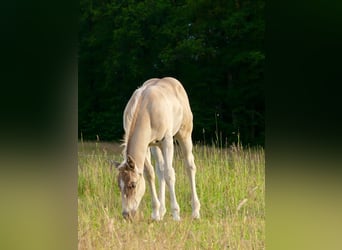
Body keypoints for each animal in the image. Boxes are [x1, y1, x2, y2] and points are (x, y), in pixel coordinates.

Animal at [115, 76, 200, 221]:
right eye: (119, 186)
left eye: (133, 184)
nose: (127, 215)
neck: (145, 108)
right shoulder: (147, 145)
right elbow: (149, 174)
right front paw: (155, 213)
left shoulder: (167, 141)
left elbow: (169, 174)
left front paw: (176, 214)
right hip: (156, 146)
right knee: (160, 169)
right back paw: (161, 212)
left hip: (184, 134)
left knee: (189, 166)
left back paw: (195, 212)